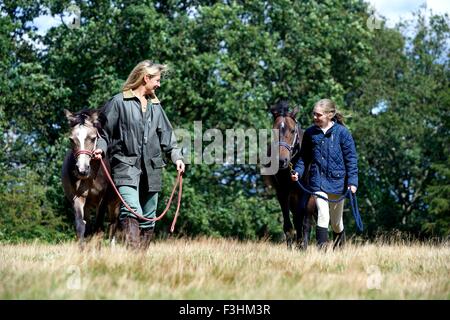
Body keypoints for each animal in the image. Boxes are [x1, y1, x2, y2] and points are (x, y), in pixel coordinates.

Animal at [60, 109, 118, 244]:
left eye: (93, 138)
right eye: (71, 139)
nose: (82, 170)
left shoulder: (102, 201)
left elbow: (99, 228)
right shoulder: (77, 198)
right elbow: (81, 226)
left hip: (115, 204)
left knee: (113, 225)